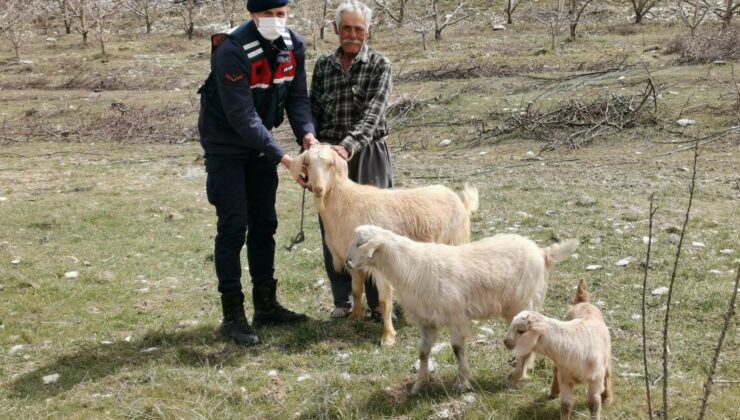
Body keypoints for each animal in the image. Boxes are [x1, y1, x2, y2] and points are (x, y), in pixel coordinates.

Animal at [290, 145, 480, 348]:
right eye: (307, 164)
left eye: (330, 164)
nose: (318, 189)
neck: (347, 203)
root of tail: (461, 202)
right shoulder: (352, 262)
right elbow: (356, 291)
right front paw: (355, 317)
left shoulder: (381, 264)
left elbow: (383, 301)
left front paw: (388, 337)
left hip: (456, 240)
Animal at [344, 223, 580, 394]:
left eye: (362, 243)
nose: (347, 263)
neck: (411, 267)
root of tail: (543, 253)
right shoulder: (427, 320)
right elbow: (423, 352)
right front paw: (419, 385)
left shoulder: (456, 315)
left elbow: (457, 349)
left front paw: (462, 383)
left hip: (523, 303)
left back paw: (516, 377)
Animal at [502, 278, 612, 418]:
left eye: (521, 331)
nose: (506, 342)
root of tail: (584, 303)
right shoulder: (565, 379)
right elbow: (565, 405)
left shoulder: (595, 380)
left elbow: (593, 404)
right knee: (555, 371)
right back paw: (554, 392)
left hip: (606, 357)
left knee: (608, 374)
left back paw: (608, 398)